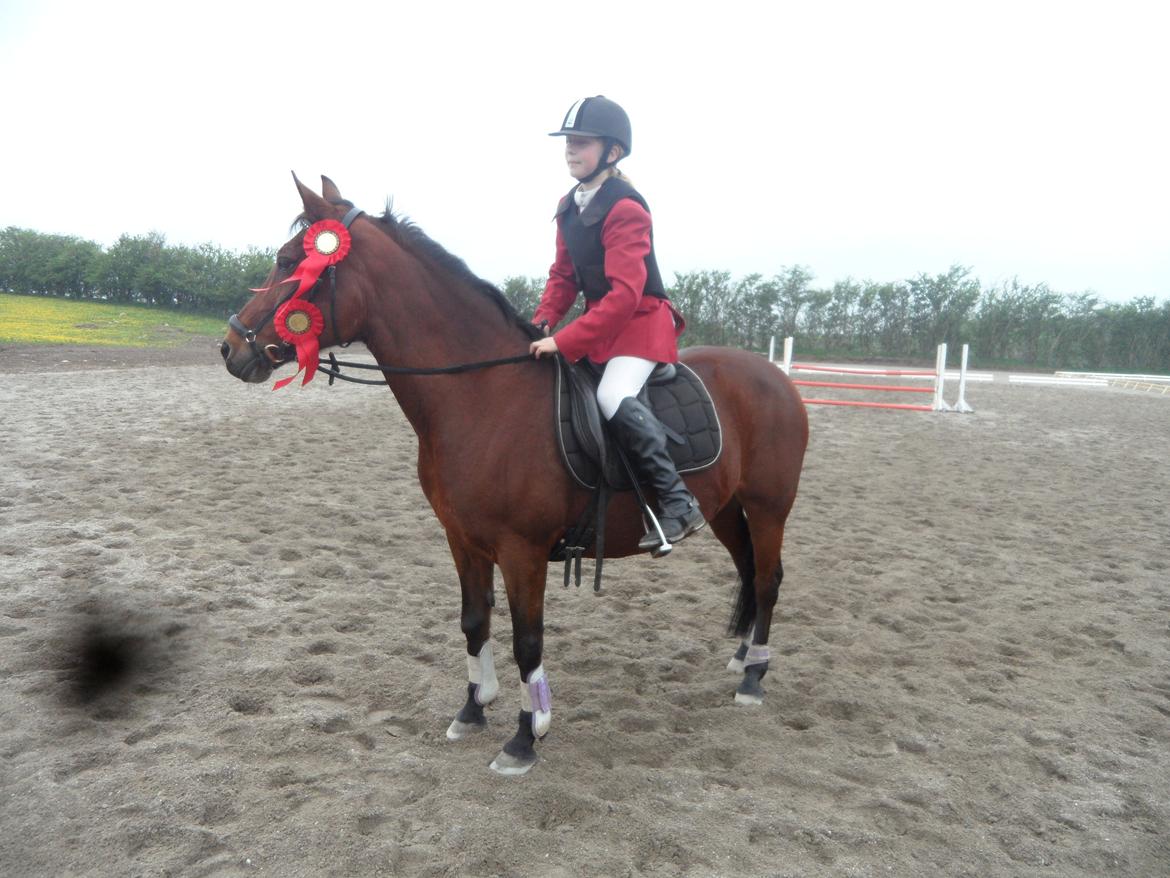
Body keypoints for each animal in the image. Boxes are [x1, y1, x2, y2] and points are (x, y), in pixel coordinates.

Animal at [220, 174, 809, 775]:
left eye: (289, 260)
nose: (231, 347)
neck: (482, 394)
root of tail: (772, 374)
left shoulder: (521, 548)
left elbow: (528, 639)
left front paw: (526, 737)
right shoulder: (462, 538)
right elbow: (474, 620)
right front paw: (473, 709)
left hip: (769, 506)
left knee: (768, 578)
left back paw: (754, 678)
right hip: (725, 509)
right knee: (749, 570)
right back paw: (742, 658)